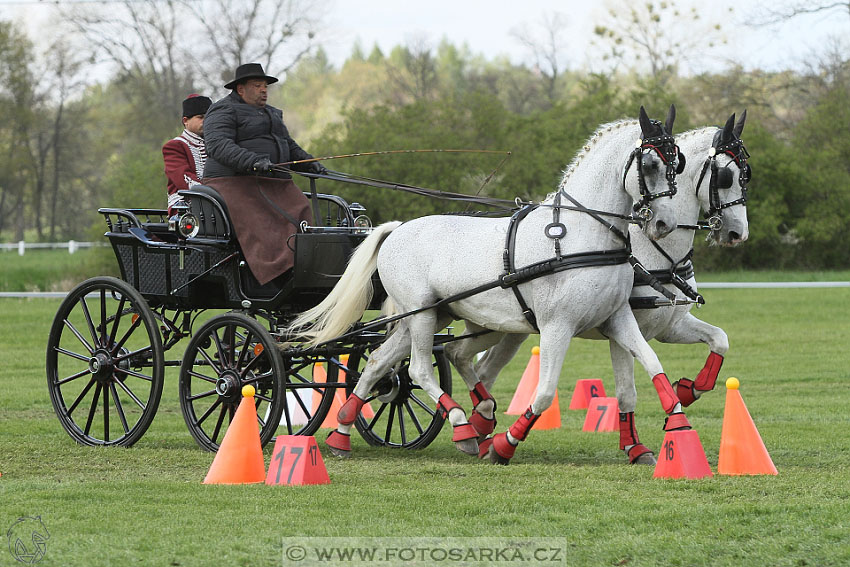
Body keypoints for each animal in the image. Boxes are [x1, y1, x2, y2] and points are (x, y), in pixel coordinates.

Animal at [288, 106, 684, 466]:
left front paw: (675, 426)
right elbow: (543, 393)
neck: (578, 235)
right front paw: (504, 446)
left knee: (382, 363)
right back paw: (464, 427)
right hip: (423, 316)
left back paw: (342, 434)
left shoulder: (617, 318)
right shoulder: (557, 326)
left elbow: (653, 366)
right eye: (651, 164)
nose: (664, 224)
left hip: (429, 316)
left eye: (676, 163)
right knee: (418, 369)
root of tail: (396, 229)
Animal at [444, 112, 748, 466]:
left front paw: (688, 390)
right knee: (466, 361)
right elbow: (626, 389)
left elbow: (719, 340)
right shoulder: (621, 330)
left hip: (506, 330)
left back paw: (480, 429)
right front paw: (640, 441)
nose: (737, 233)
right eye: (726, 176)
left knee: (475, 364)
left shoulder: (668, 326)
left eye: (746, 176)